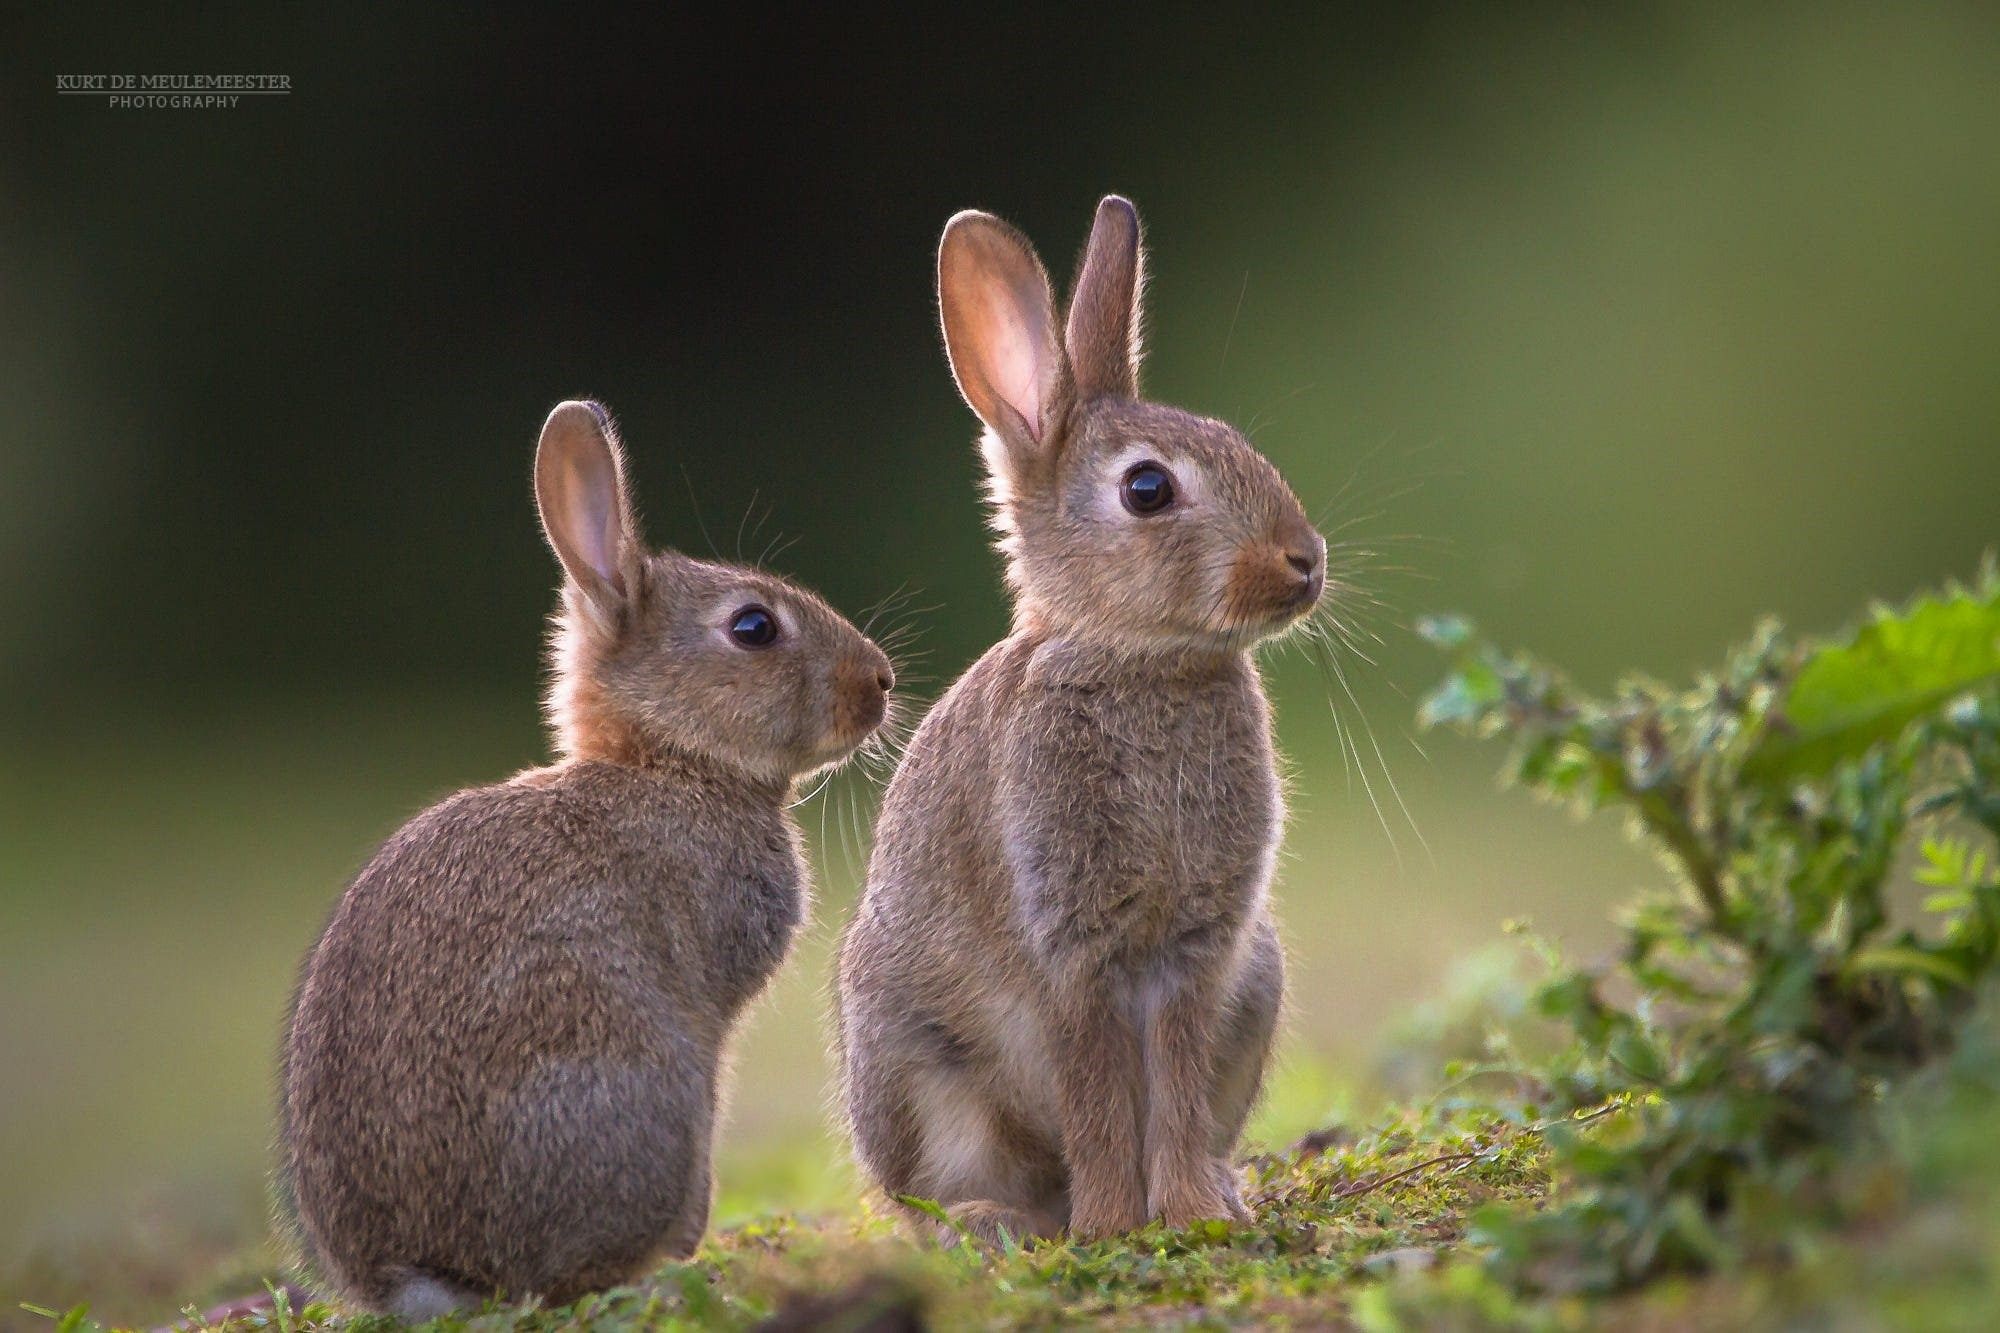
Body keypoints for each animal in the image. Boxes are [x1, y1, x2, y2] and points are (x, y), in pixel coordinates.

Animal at [836, 197, 1320, 1248]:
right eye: (1148, 489)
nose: (1306, 561)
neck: (1139, 658)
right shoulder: (1072, 941)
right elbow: (1099, 1091)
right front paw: (1112, 1225)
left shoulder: (1199, 948)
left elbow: (1171, 1089)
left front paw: (1186, 1214)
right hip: (914, 1060)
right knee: (936, 1190)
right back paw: (1002, 1222)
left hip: (1259, 978)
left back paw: (1221, 1191)